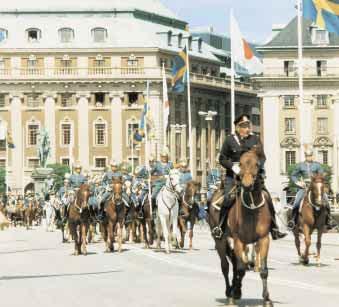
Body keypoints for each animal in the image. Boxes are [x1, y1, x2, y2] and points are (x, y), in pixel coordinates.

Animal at [227, 147, 274, 307]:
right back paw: (232, 291)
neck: (252, 208)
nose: (246, 185)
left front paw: (267, 299)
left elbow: (264, 270)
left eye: (257, 164)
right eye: (240, 163)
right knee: (231, 266)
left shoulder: (264, 239)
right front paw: (234, 295)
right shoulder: (238, 240)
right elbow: (240, 269)